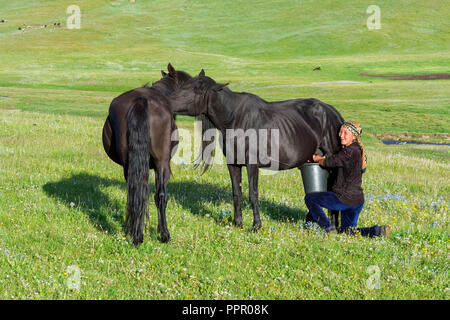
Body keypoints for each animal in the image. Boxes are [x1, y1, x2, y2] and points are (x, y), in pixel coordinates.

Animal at [102, 64, 192, 245]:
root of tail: (141, 100)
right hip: (162, 164)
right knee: (159, 195)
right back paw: (163, 234)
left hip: (131, 164)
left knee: (137, 193)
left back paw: (137, 234)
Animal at [169, 72, 344, 232]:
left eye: (196, 91)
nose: (168, 102)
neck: (235, 119)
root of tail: (333, 113)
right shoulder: (233, 164)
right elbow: (237, 193)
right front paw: (237, 223)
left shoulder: (252, 164)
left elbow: (253, 194)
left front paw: (256, 225)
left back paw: (334, 227)